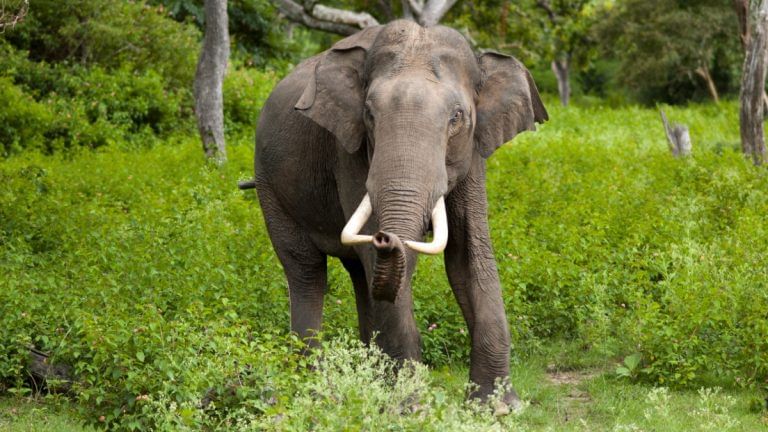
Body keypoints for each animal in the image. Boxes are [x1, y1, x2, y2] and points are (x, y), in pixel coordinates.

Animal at [242, 19, 547, 406]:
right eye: (370, 115)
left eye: (457, 118)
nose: (386, 237)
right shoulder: (349, 150)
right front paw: (409, 407)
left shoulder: (474, 152)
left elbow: (468, 255)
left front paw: (498, 408)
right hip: (270, 186)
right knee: (307, 271)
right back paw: (316, 388)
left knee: (359, 275)